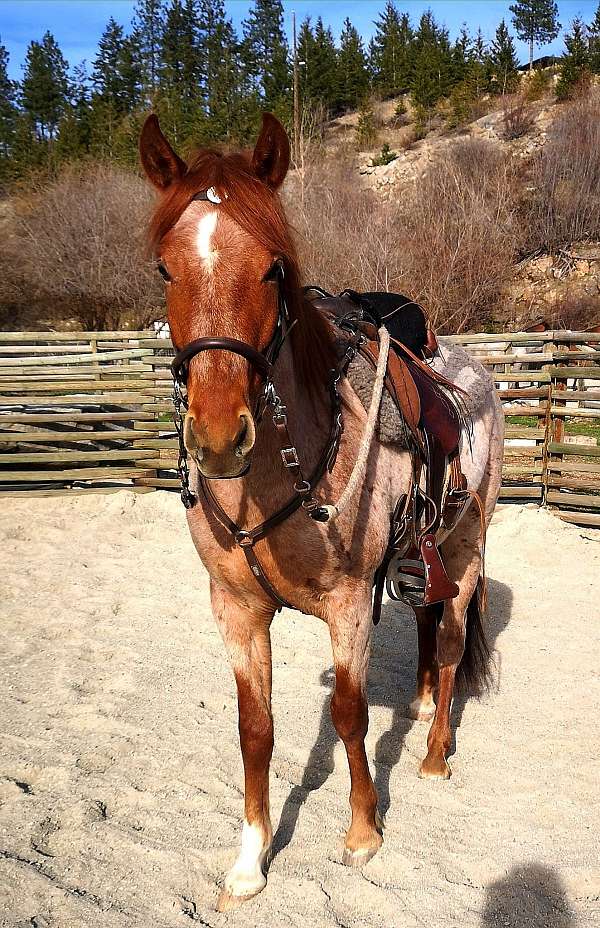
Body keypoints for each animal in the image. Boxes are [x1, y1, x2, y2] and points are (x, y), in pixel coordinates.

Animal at [139, 112, 505, 911]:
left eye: (274, 268)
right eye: (165, 270)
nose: (219, 436)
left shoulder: (346, 604)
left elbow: (349, 715)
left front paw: (364, 832)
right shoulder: (236, 608)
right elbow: (256, 729)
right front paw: (250, 861)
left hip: (465, 551)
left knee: (452, 641)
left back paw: (436, 754)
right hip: (422, 557)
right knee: (428, 627)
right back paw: (424, 705)